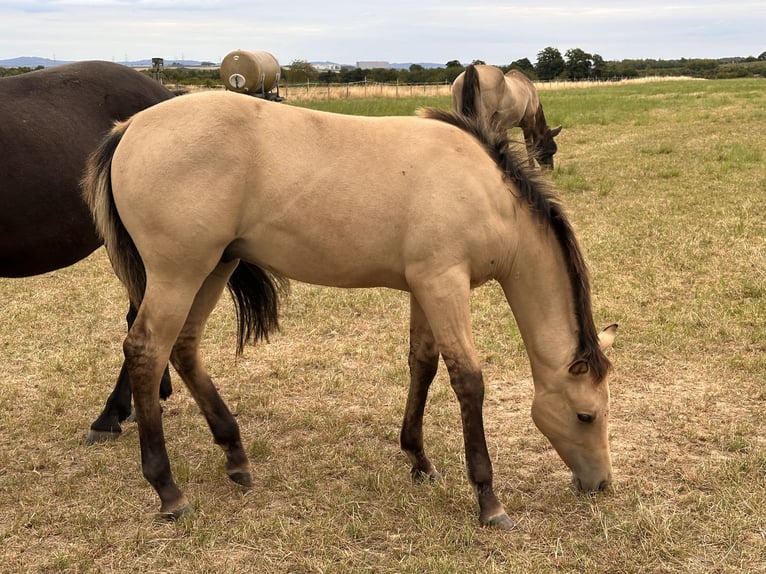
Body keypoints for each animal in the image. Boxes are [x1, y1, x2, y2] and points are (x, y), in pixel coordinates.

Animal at [82, 90, 618, 529]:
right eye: (586, 415)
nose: (601, 485)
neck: (488, 192)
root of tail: (130, 127)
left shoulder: (425, 287)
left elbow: (422, 364)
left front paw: (419, 459)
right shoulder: (444, 284)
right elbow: (467, 379)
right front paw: (489, 500)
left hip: (216, 266)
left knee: (185, 347)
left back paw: (235, 456)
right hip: (178, 274)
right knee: (146, 350)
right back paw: (167, 490)